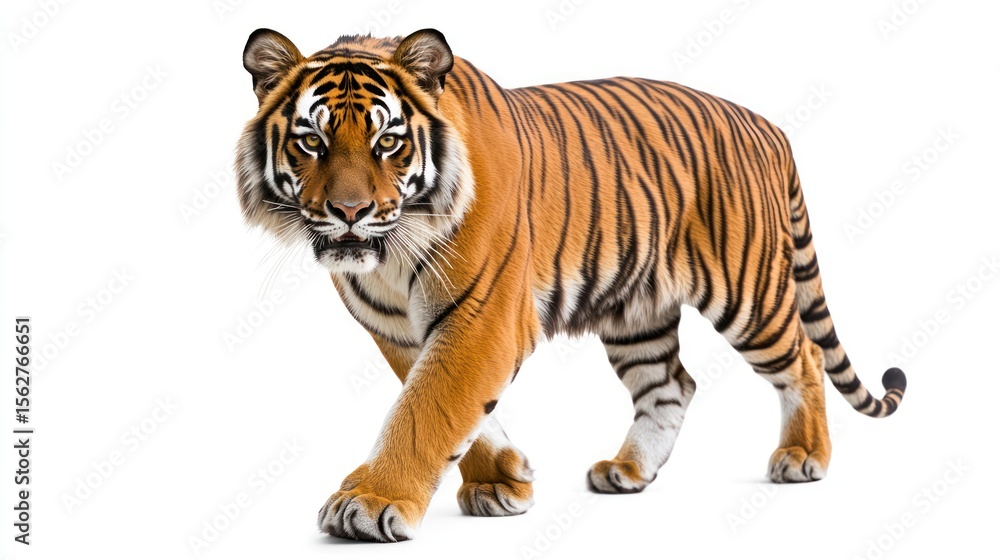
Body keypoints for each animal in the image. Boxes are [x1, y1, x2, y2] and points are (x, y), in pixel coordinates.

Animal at [235, 28, 907, 542]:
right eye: (312, 141)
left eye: (388, 141)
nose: (348, 212)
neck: (390, 256)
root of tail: (767, 125)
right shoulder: (397, 331)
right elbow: (444, 405)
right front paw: (503, 479)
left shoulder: (482, 316)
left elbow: (426, 409)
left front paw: (371, 502)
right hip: (637, 309)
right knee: (672, 384)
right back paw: (628, 471)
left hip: (749, 292)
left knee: (806, 356)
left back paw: (805, 457)